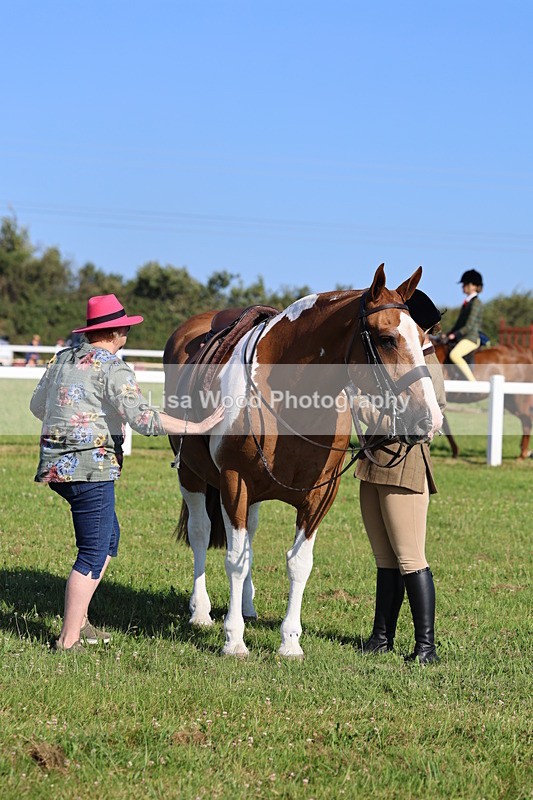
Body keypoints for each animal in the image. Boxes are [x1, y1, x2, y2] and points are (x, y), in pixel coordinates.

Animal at [163, 264, 444, 658]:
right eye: (387, 338)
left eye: (422, 340)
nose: (429, 420)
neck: (287, 398)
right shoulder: (235, 481)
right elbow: (233, 560)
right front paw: (234, 640)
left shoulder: (320, 495)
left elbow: (298, 563)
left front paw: (290, 642)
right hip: (191, 475)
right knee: (201, 532)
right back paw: (201, 611)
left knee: (248, 538)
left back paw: (247, 606)